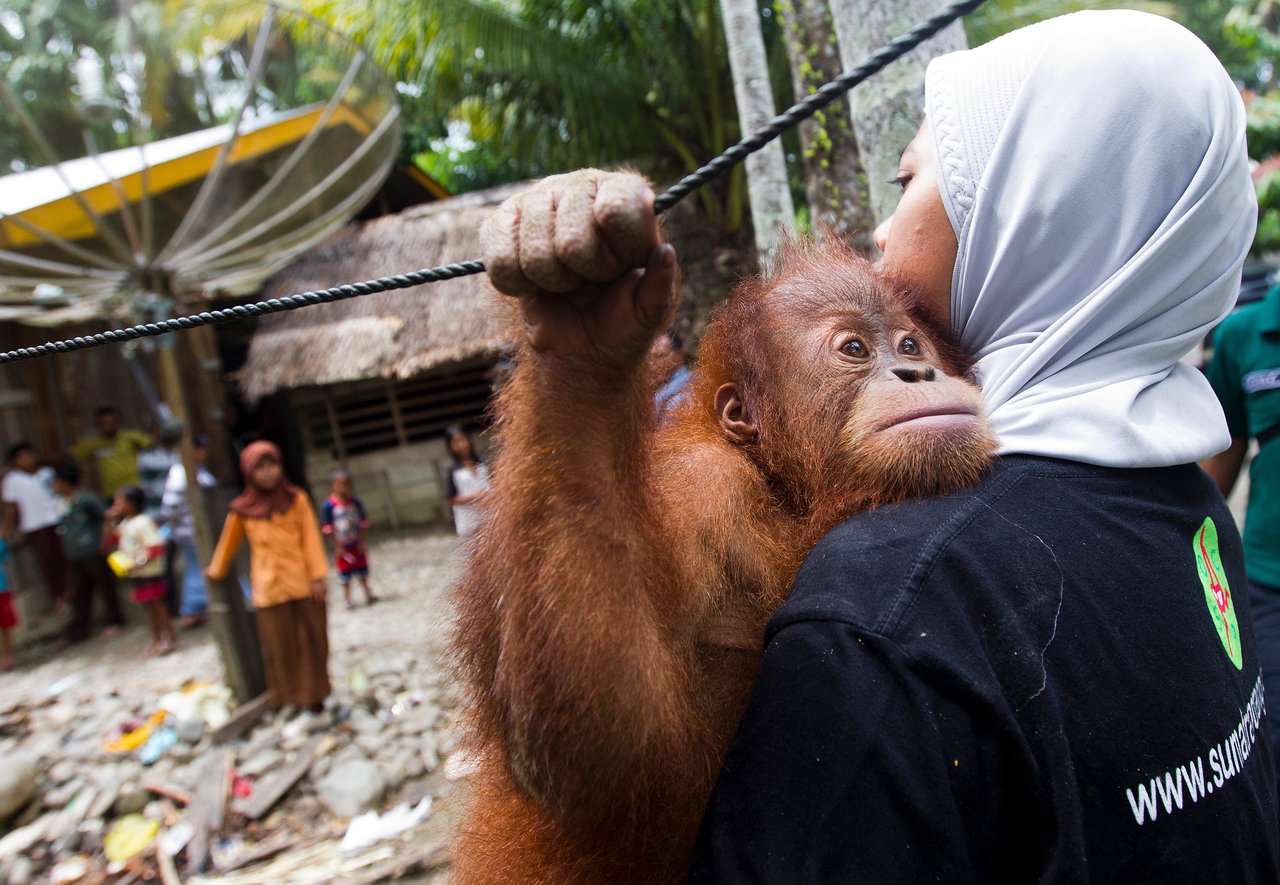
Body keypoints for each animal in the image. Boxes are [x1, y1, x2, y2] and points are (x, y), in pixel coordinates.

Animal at [448, 169, 996, 883]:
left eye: (908, 344)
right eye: (853, 348)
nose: (917, 371)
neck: (787, 494)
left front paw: (585, 320)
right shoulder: (701, 491)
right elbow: (606, 753)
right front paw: (582, 329)